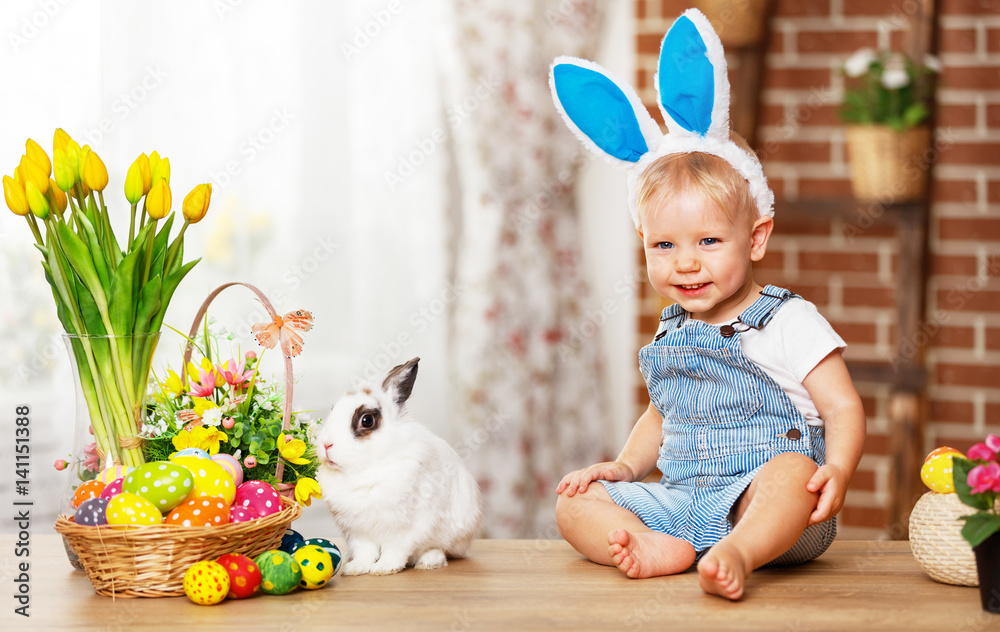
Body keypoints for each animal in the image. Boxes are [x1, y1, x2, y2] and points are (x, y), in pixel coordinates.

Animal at [314, 358, 482, 576]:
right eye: (333, 409)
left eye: (367, 420)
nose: (326, 444)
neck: (365, 470)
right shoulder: (358, 532)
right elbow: (364, 552)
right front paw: (356, 568)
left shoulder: (405, 528)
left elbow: (396, 549)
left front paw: (384, 568)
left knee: (440, 549)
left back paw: (428, 562)